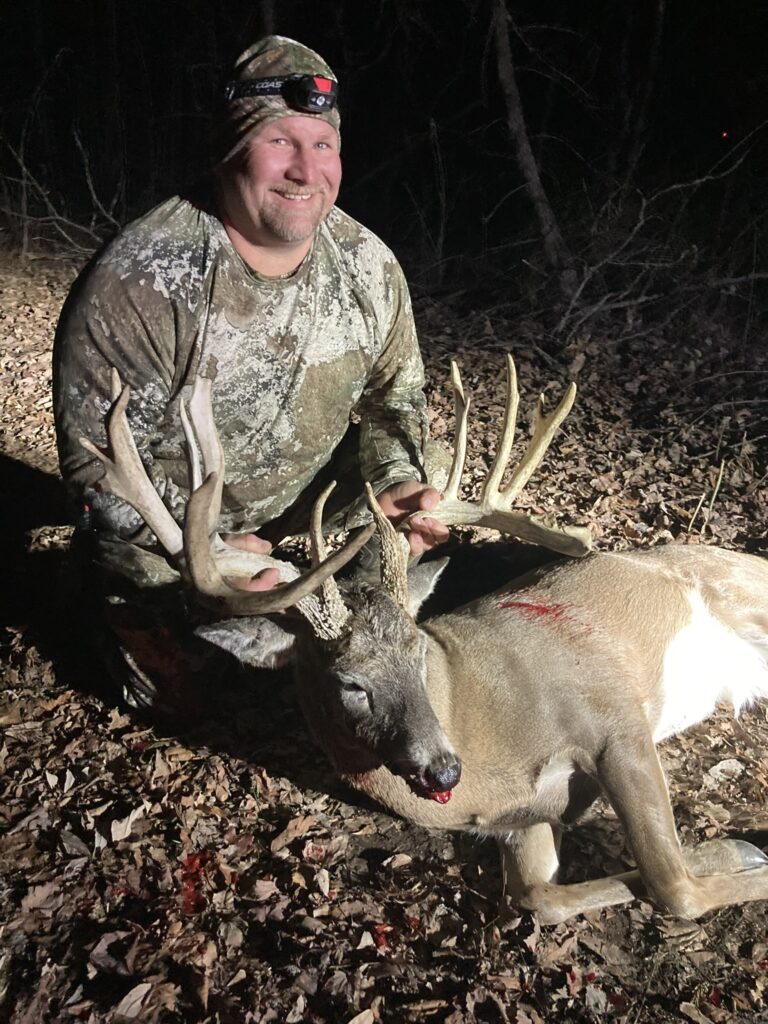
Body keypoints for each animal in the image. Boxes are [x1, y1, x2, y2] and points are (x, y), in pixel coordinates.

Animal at [80, 356, 768, 925]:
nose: (442, 768)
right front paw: (736, 848)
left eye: (418, 650)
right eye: (349, 683)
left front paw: (743, 852)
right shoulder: (523, 821)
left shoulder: (613, 719)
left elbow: (672, 886)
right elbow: (540, 898)